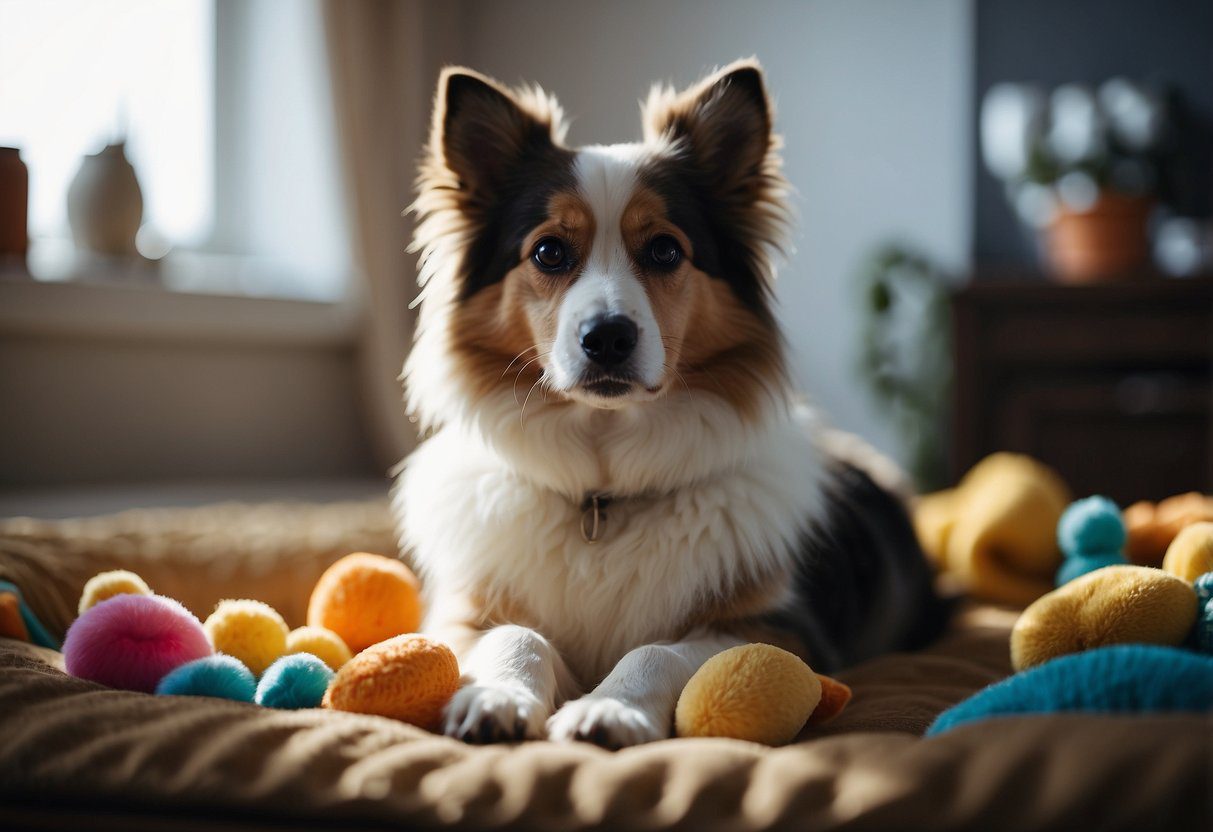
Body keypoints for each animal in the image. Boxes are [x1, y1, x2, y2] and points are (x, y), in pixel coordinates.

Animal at [393, 58, 941, 751]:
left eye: (664, 249)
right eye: (548, 251)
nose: (607, 337)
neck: (602, 500)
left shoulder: (782, 627)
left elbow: (659, 650)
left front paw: (610, 709)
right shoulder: (459, 613)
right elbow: (515, 634)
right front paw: (496, 697)